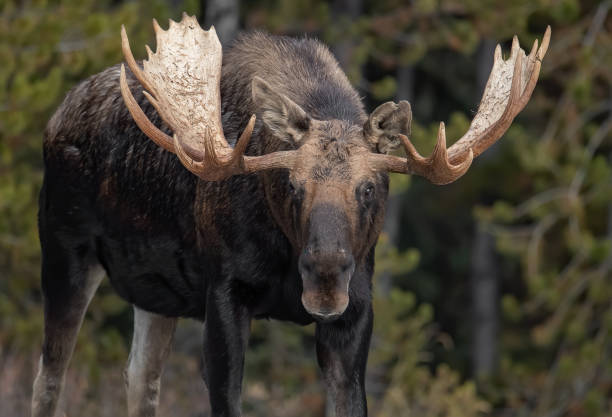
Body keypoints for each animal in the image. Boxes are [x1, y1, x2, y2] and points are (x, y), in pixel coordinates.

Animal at [31, 13, 552, 416]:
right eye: (293, 185)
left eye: (367, 187)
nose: (326, 274)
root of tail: (56, 116)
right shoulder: (224, 292)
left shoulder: (356, 312)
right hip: (64, 250)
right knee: (48, 379)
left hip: (157, 294)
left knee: (140, 380)